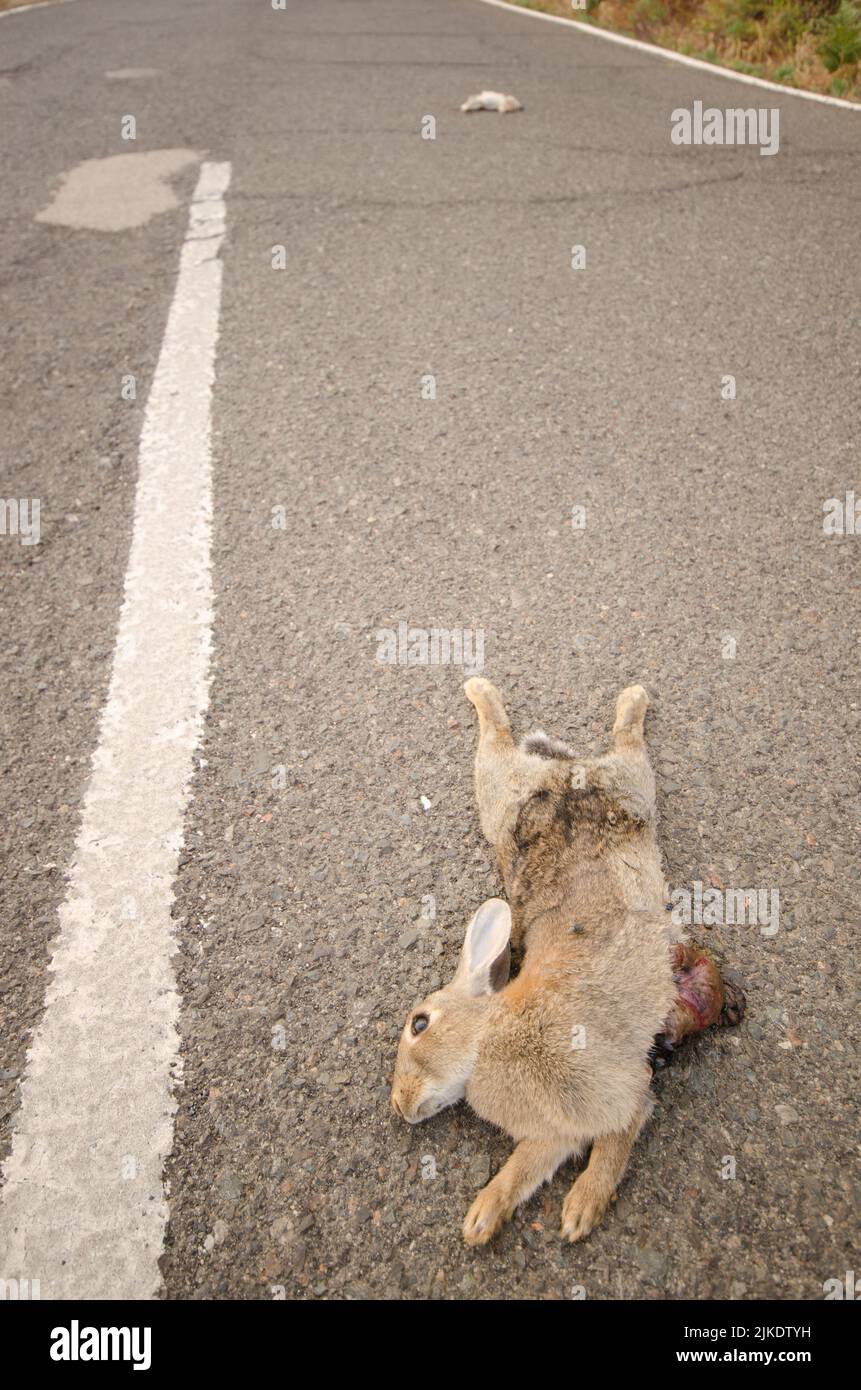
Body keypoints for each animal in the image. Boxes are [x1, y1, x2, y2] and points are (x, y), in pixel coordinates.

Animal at [390, 679, 745, 1246]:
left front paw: (580, 1211)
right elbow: (527, 1166)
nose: (399, 1106)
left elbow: (621, 1133)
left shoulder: (617, 1090)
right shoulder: (557, 1128)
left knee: (582, 740)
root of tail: (567, 776)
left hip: (589, 785)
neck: (488, 1037)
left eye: (419, 1024)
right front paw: (482, 1219)